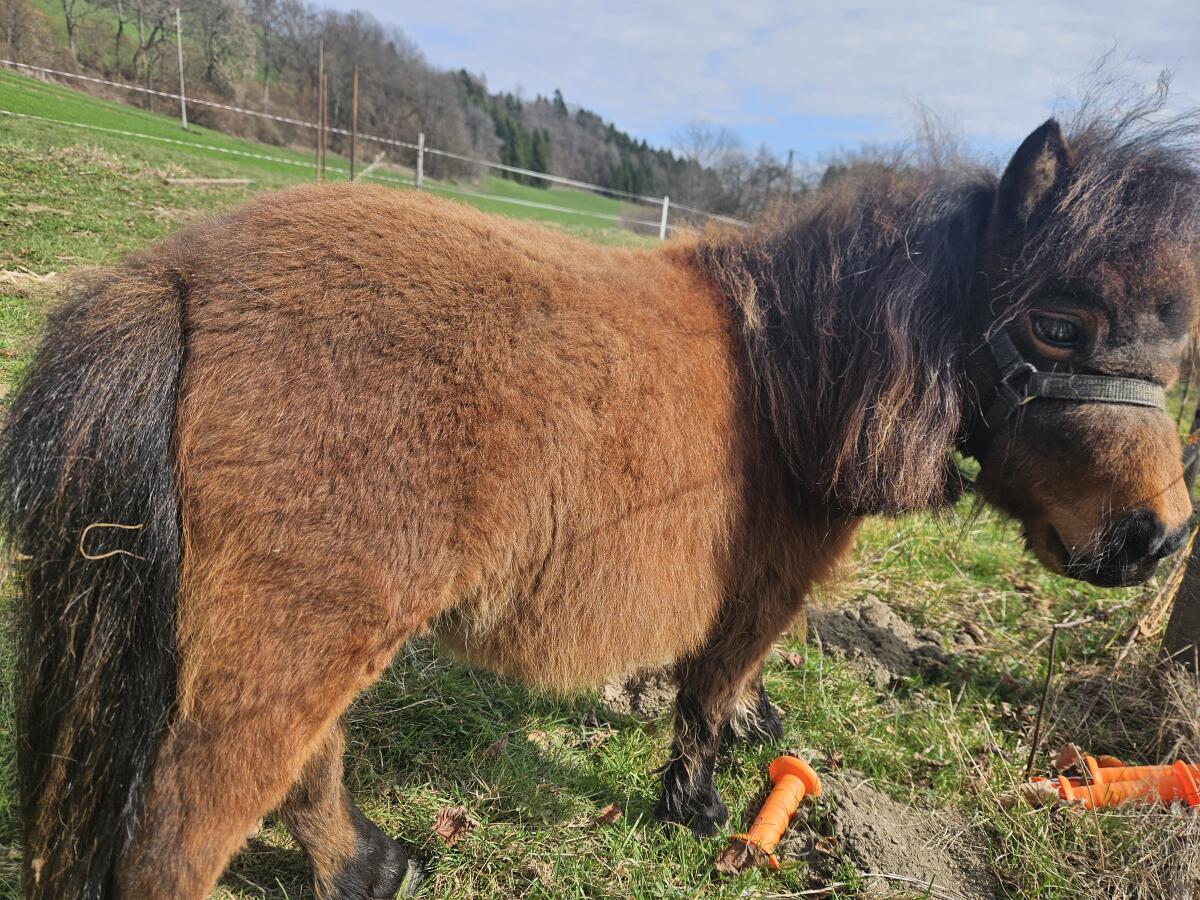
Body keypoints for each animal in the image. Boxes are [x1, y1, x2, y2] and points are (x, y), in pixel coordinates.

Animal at [4, 98, 1200, 898]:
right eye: (1056, 325)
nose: (1158, 539)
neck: (797, 368)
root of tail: (177, 280)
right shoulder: (761, 589)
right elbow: (710, 693)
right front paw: (701, 807)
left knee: (309, 767)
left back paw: (374, 867)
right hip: (290, 644)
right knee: (188, 834)